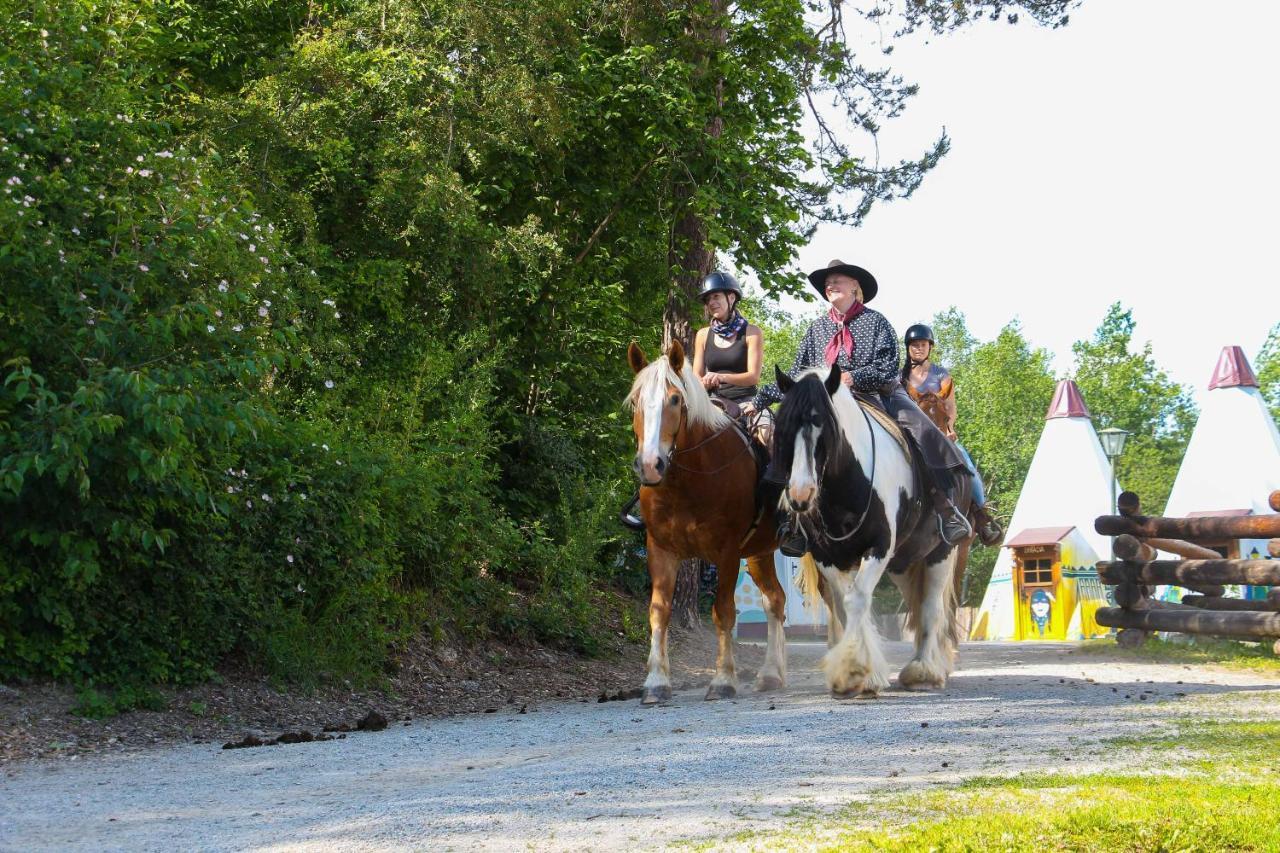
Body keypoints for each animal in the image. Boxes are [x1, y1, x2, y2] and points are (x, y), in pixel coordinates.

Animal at [622, 338, 783, 701]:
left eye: (675, 399)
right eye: (636, 401)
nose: (650, 465)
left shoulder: (727, 553)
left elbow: (723, 612)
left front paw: (723, 680)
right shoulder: (660, 550)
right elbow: (659, 611)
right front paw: (656, 682)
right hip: (760, 553)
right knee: (775, 601)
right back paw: (771, 675)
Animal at [768, 361, 967, 696]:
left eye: (827, 430)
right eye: (782, 430)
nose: (800, 495)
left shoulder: (878, 547)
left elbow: (857, 600)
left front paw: (853, 670)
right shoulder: (827, 555)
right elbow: (846, 603)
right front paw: (860, 672)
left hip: (940, 552)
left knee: (930, 607)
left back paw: (924, 670)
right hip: (904, 562)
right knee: (916, 605)